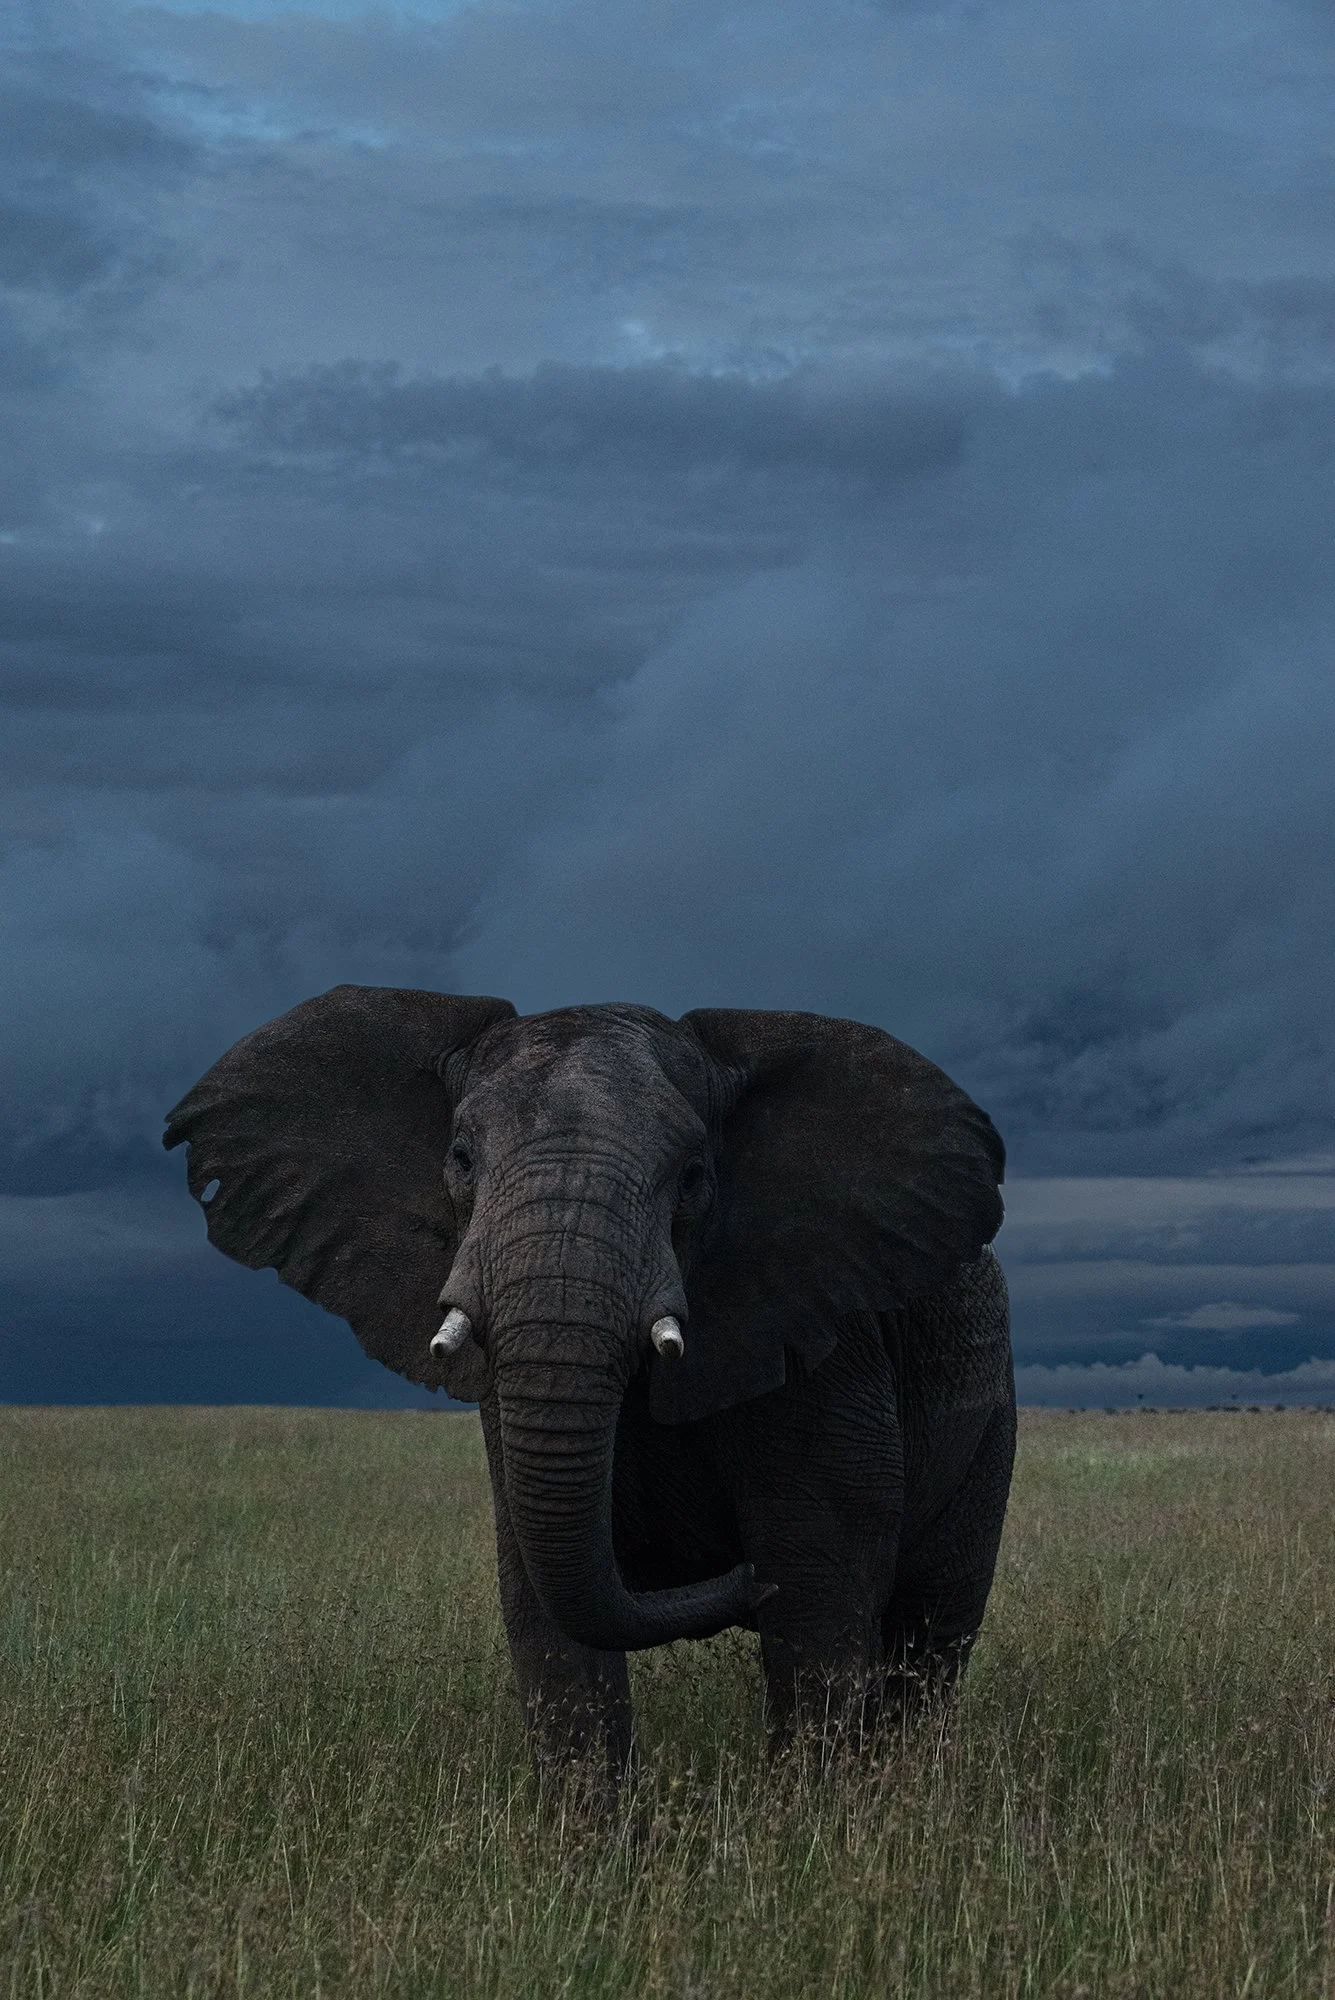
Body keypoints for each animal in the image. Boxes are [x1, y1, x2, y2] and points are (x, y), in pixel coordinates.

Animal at [165, 987, 1014, 1785]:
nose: (741, 1579)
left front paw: (806, 1828)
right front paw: (592, 1842)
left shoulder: (823, 1334)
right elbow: (543, 1604)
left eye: (692, 1178)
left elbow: (819, 1584)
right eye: (461, 1158)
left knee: (929, 1634)